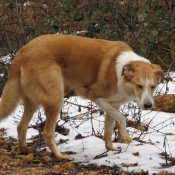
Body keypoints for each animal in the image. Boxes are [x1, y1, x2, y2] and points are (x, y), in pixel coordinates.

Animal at [0, 34, 164, 159]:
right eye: (139, 85)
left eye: (153, 86)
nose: (148, 106)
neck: (120, 73)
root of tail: (22, 51)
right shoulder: (97, 97)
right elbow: (122, 118)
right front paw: (124, 136)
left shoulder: (113, 105)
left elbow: (109, 129)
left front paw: (110, 149)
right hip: (56, 98)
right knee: (47, 132)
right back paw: (59, 156)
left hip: (33, 102)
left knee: (21, 126)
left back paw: (23, 150)